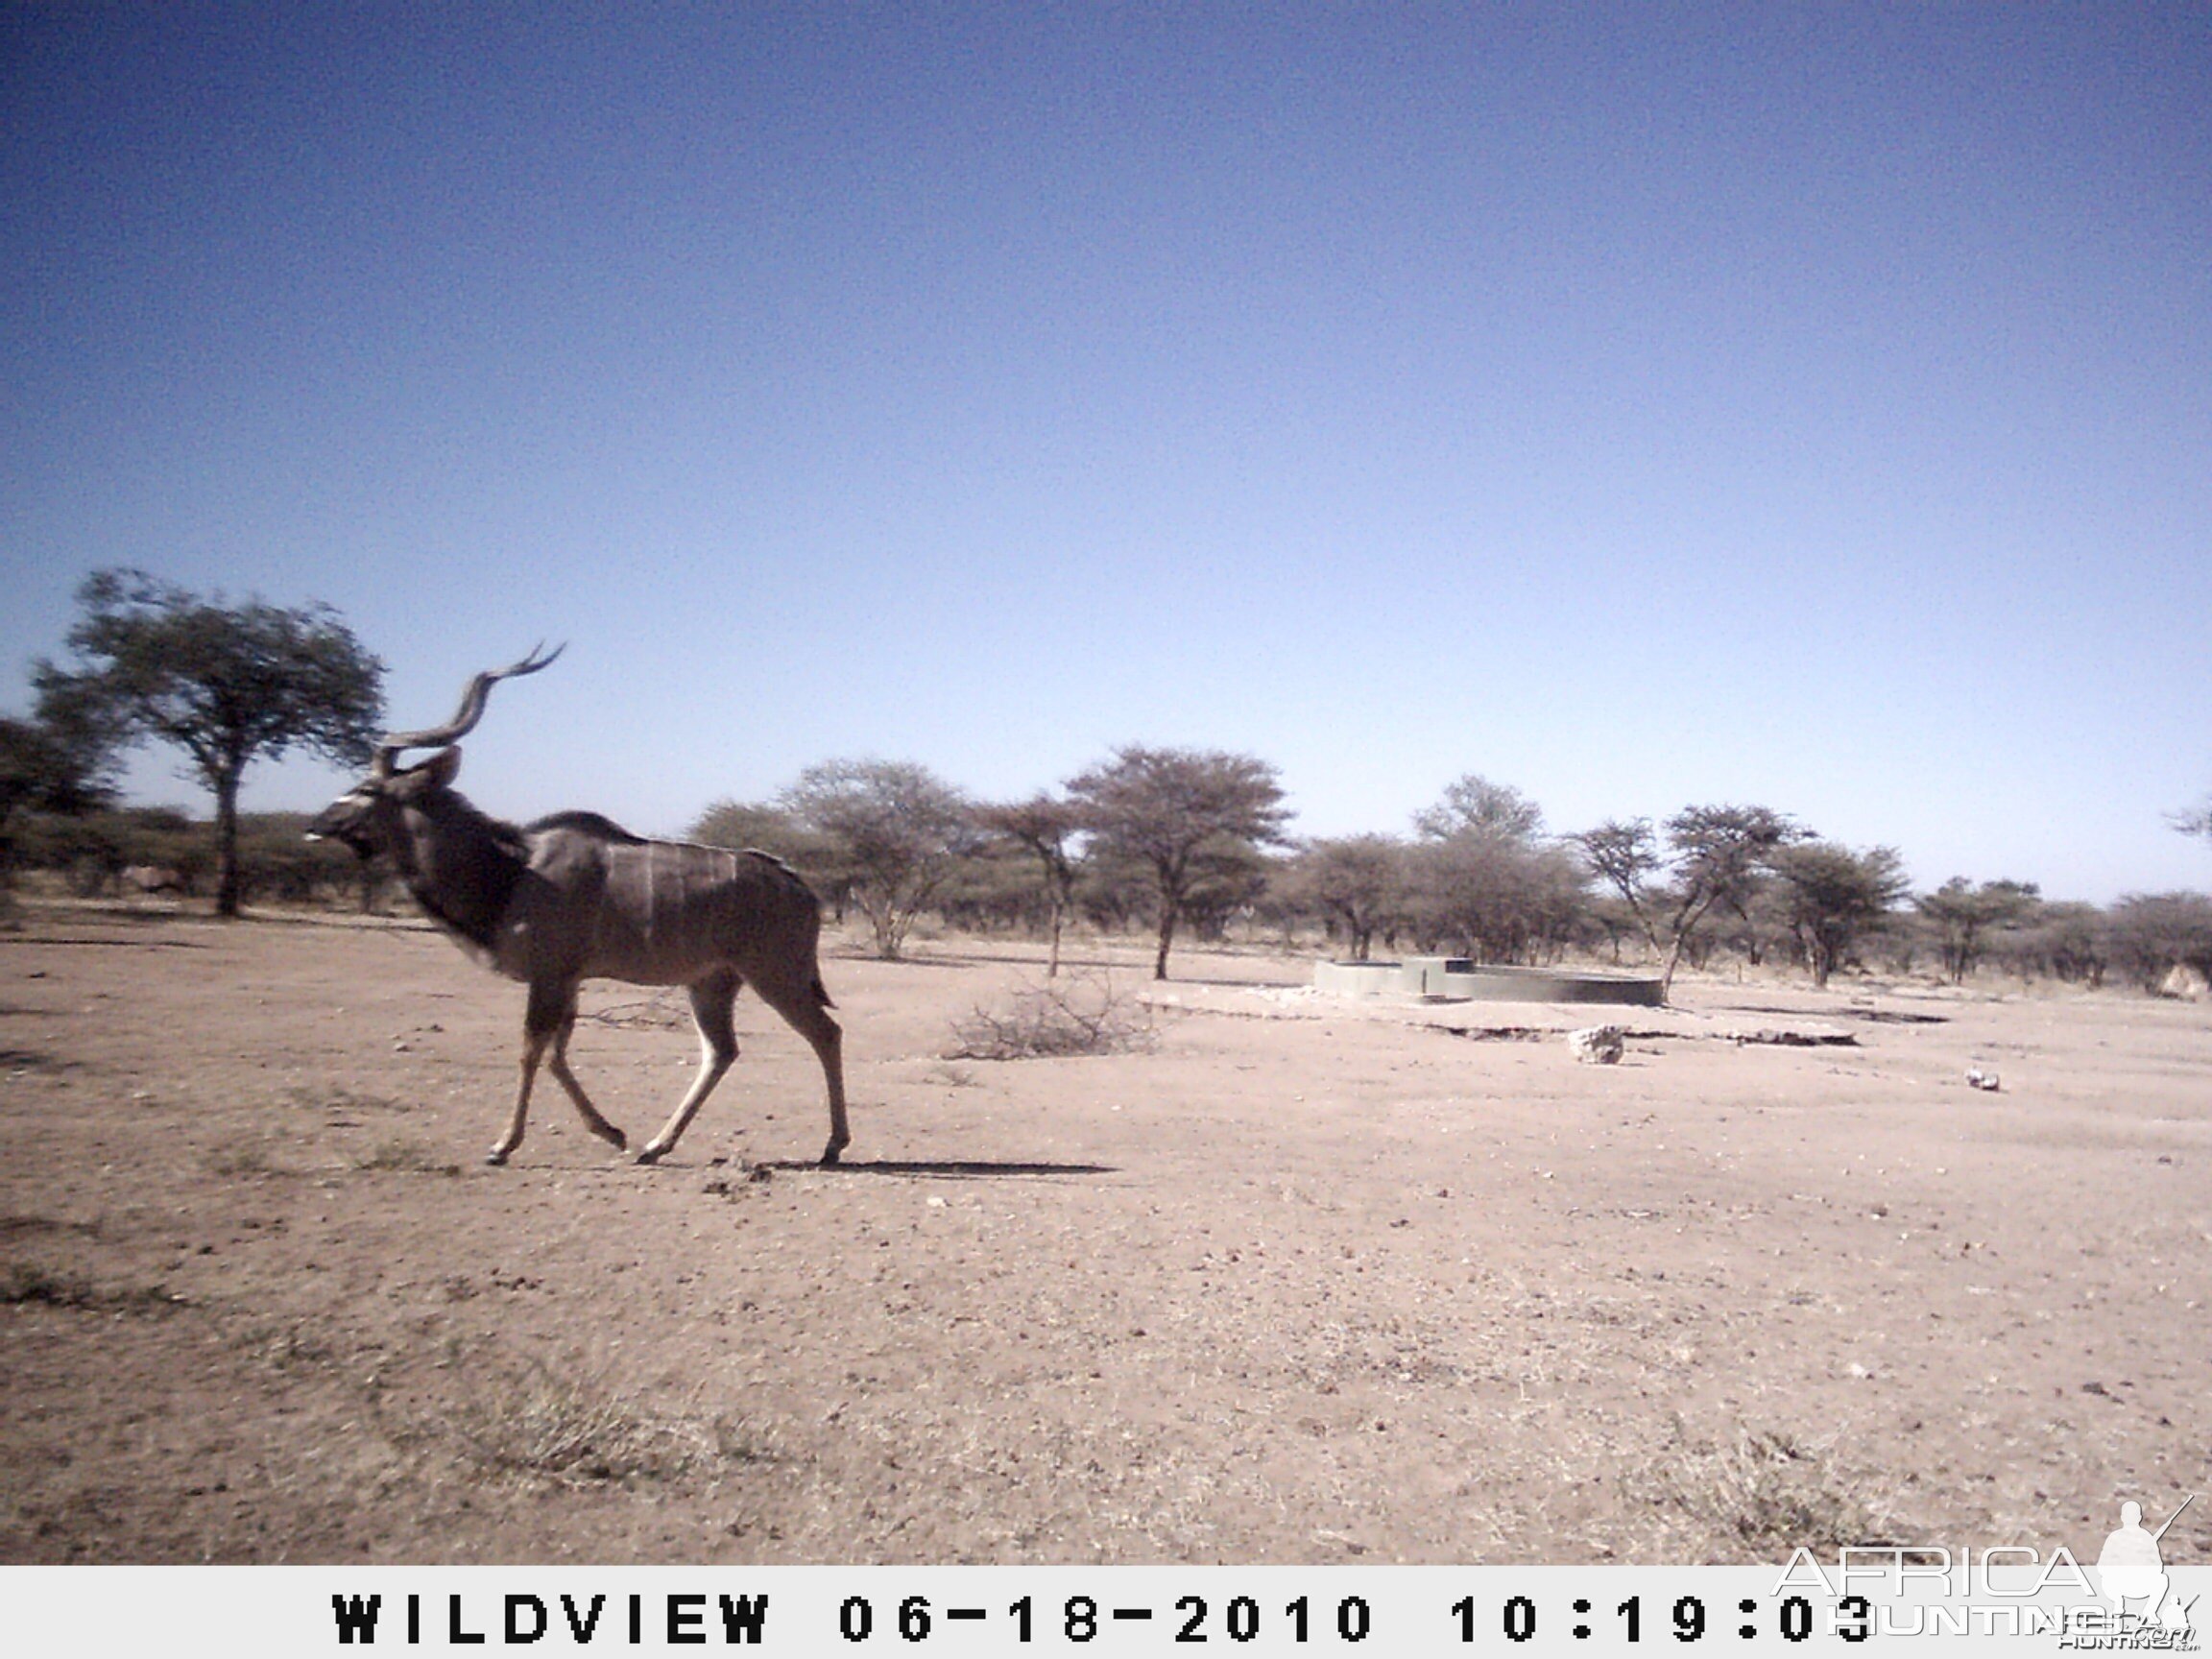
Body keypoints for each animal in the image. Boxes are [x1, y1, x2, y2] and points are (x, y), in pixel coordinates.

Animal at [311, 650, 854, 1167]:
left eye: (366, 790)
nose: (317, 825)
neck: (512, 871)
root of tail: (802, 889)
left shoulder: (549, 974)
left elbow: (531, 1051)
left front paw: (503, 1145)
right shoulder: (569, 978)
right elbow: (556, 1053)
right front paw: (612, 1132)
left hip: (773, 974)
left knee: (825, 1033)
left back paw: (832, 1145)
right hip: (712, 983)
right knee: (721, 1051)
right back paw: (656, 1145)